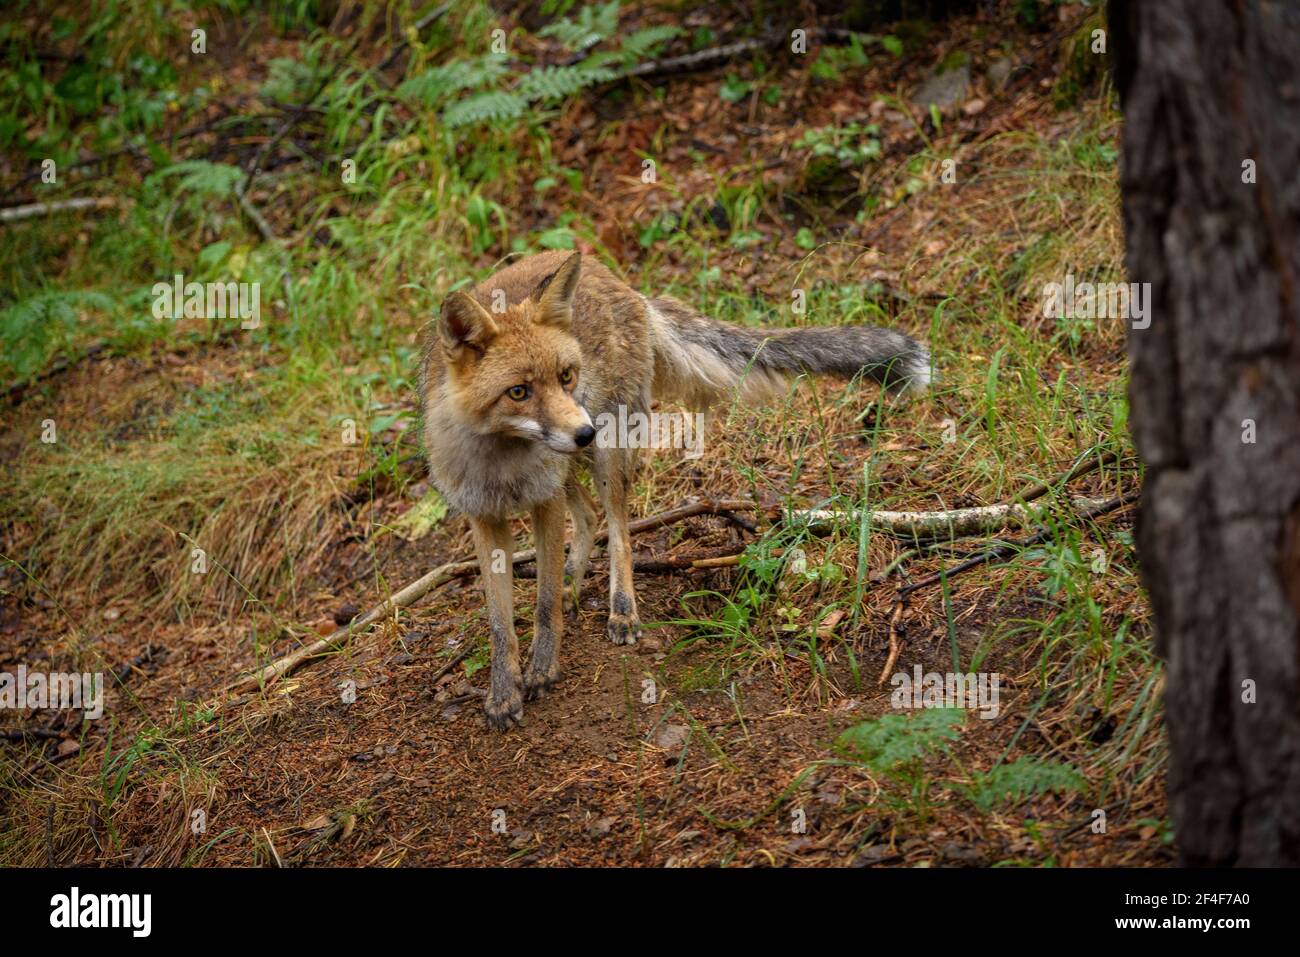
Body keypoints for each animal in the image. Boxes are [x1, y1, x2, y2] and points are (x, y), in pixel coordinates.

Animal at [420, 250, 929, 729]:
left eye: (565, 376)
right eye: (519, 392)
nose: (583, 432)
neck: (501, 462)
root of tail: (619, 281)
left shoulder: (544, 499)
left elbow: (544, 606)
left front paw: (543, 669)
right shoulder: (485, 517)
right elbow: (499, 623)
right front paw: (503, 695)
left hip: (607, 456)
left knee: (617, 532)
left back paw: (621, 610)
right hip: (575, 463)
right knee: (587, 518)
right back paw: (572, 583)